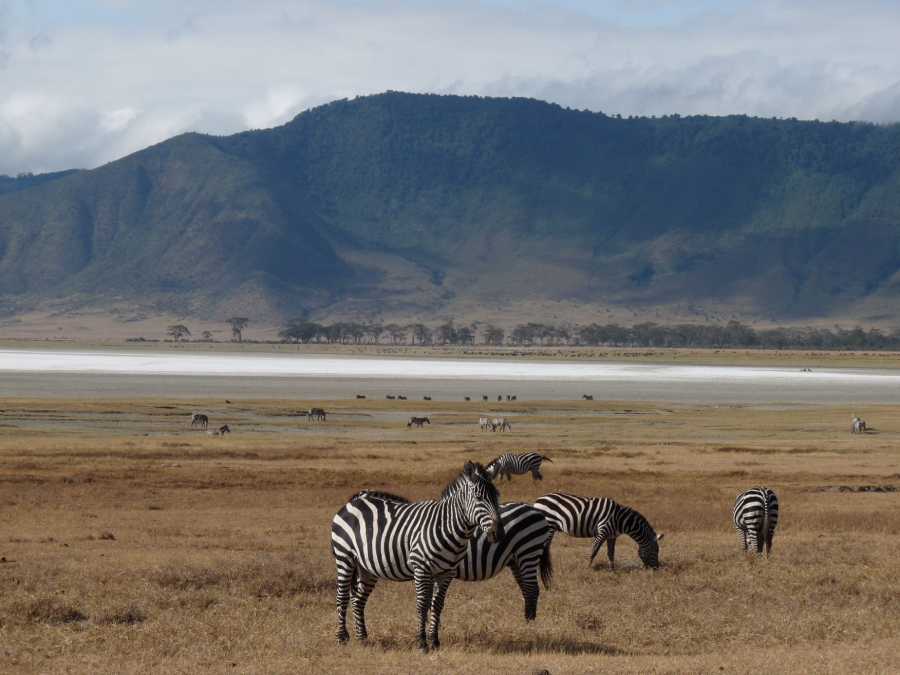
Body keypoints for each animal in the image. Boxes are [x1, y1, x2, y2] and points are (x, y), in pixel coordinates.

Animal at [330, 462, 502, 652]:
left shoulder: (446, 573)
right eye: (479, 498)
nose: (498, 533)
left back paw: (362, 639)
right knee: (342, 597)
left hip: (367, 567)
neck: (446, 526)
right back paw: (341, 638)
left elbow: (437, 605)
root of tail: (353, 501)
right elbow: (422, 605)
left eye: (497, 497)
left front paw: (435, 642)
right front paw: (422, 643)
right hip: (344, 557)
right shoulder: (421, 568)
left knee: (358, 599)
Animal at [532, 492, 664, 572]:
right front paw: (588, 567)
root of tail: (539, 499)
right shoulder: (602, 531)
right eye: (655, 550)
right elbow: (594, 550)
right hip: (548, 525)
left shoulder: (612, 536)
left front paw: (612, 570)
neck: (620, 519)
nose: (657, 568)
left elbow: (611, 553)